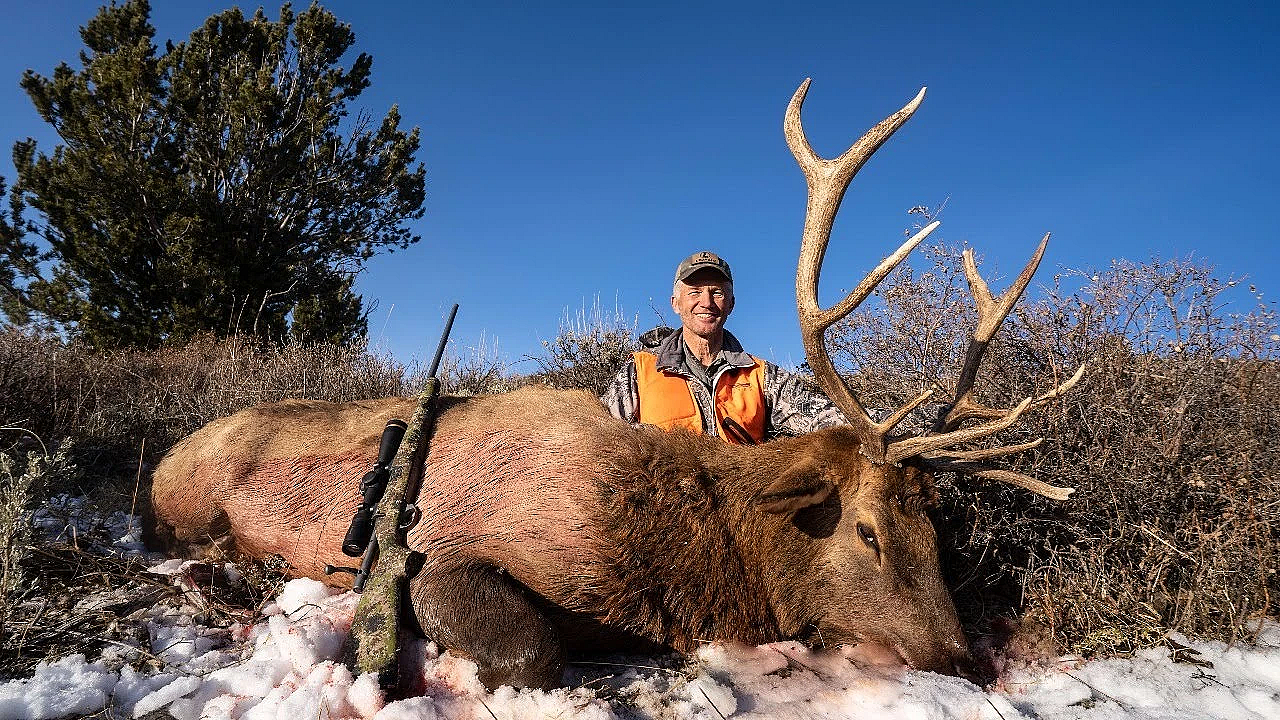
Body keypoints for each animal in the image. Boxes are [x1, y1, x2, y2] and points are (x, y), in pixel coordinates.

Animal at [146, 79, 1082, 691]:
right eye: (866, 531)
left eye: (936, 526)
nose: (964, 661)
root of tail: (160, 462)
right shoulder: (444, 550)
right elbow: (532, 651)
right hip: (187, 502)